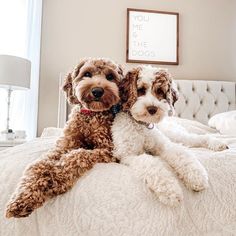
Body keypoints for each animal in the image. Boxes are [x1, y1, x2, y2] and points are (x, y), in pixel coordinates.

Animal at [5, 57, 123, 218]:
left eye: (110, 77)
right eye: (87, 74)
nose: (97, 91)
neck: (90, 115)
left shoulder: (109, 150)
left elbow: (77, 155)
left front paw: (56, 178)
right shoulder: (64, 145)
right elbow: (38, 165)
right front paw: (23, 198)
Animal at [112, 66, 229, 206]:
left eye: (160, 91)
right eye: (140, 90)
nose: (152, 109)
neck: (141, 126)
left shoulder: (163, 145)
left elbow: (180, 154)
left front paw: (197, 177)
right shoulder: (128, 155)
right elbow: (150, 163)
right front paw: (170, 190)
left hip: (175, 135)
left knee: (198, 138)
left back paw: (218, 144)